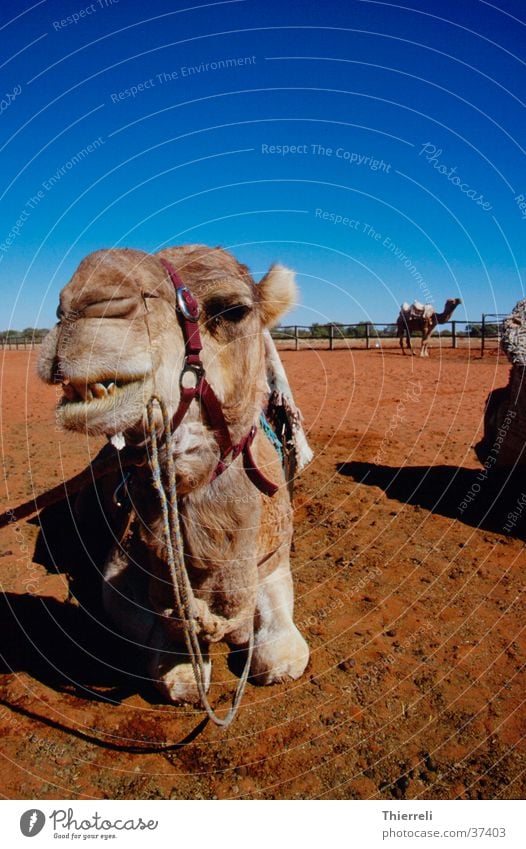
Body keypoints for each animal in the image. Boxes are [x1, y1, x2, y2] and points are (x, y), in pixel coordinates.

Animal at [39, 247, 312, 716]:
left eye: (233, 310)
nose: (83, 302)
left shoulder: (274, 559)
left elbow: (281, 654)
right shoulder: (119, 573)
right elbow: (164, 631)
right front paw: (184, 667)